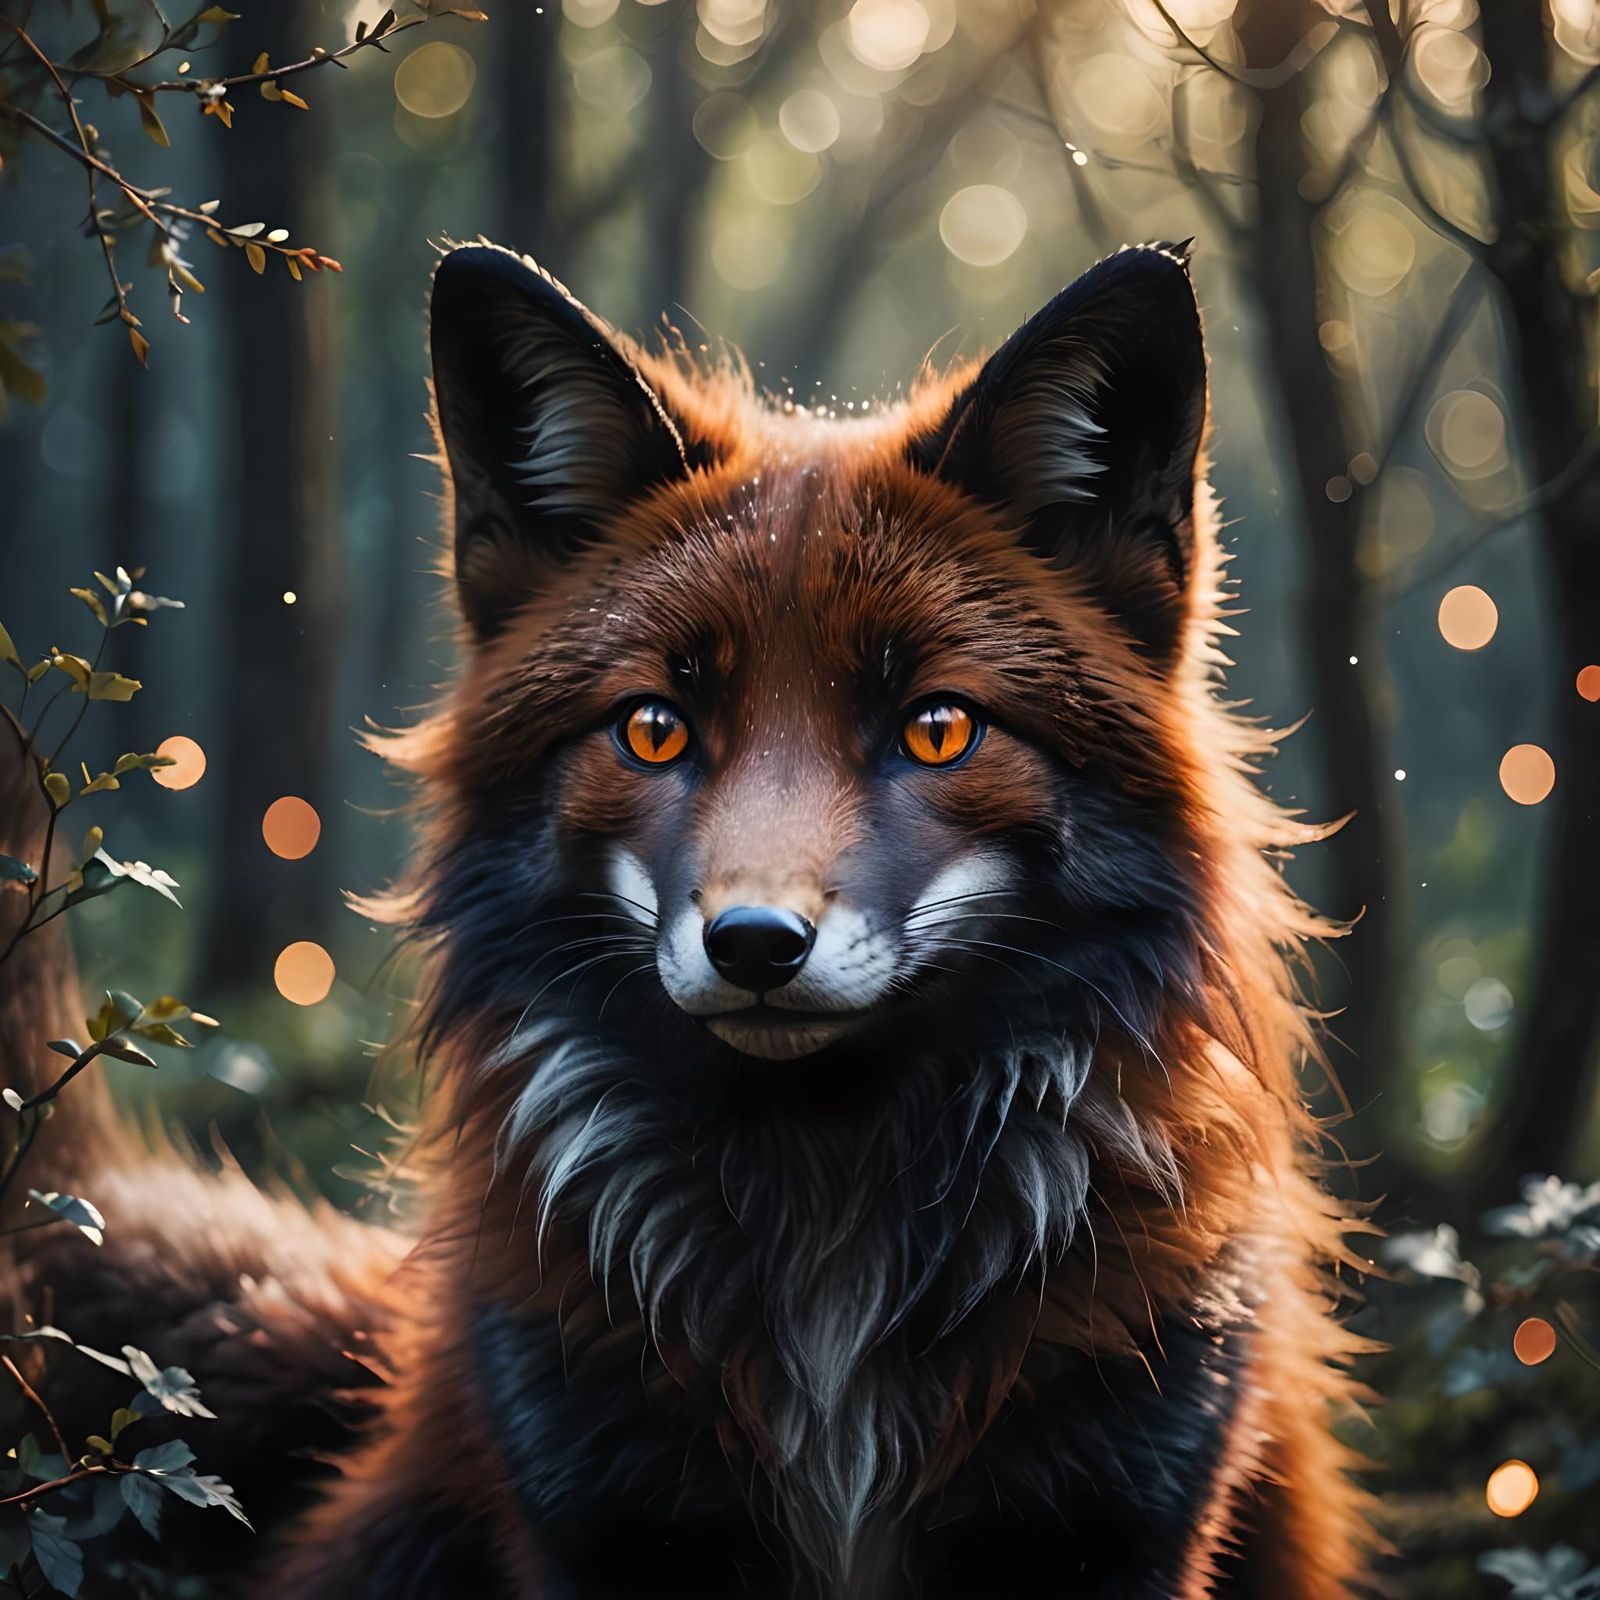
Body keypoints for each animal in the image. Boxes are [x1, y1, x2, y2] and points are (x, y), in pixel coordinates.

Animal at [1, 240, 1376, 1598]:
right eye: (655, 727)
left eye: (938, 726)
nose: (755, 944)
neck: (827, 1219)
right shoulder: (600, 1505)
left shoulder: (1118, 1506)